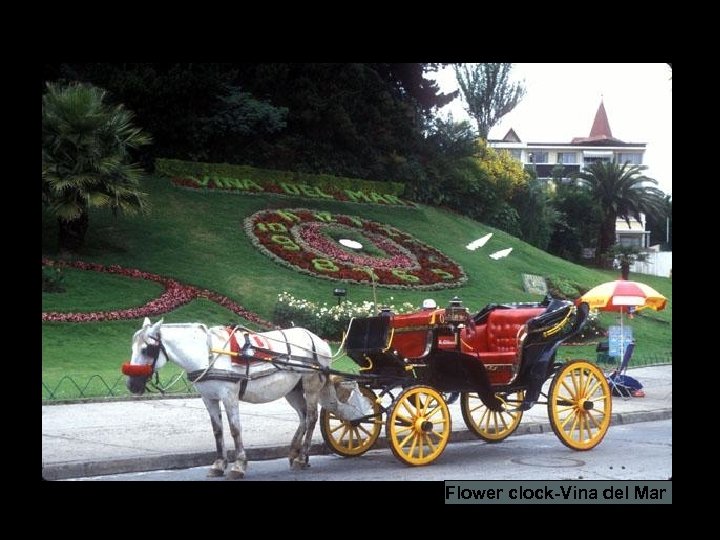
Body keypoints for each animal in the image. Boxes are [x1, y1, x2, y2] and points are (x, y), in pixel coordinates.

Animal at [122, 318, 372, 478]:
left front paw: (238, 465)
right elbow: (218, 431)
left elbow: (235, 429)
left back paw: (303, 458)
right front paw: (219, 464)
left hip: (310, 384)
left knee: (310, 418)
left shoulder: (229, 396)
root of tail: (317, 341)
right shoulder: (209, 399)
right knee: (302, 417)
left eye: (147, 349)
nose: (132, 385)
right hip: (292, 389)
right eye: (133, 348)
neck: (208, 353)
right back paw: (295, 453)